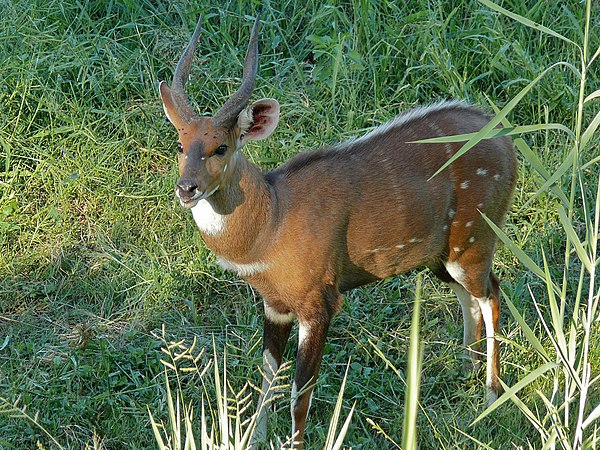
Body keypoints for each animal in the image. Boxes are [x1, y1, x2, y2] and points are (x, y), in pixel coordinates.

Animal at [159, 15, 520, 448]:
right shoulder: (274, 304)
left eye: (221, 148)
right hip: (440, 256)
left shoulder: (319, 302)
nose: (186, 188)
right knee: (471, 296)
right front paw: (253, 436)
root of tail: (506, 139)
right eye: (181, 146)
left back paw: (491, 395)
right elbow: (268, 375)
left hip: (474, 239)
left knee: (492, 292)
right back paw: (465, 367)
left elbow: (299, 394)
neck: (271, 223)